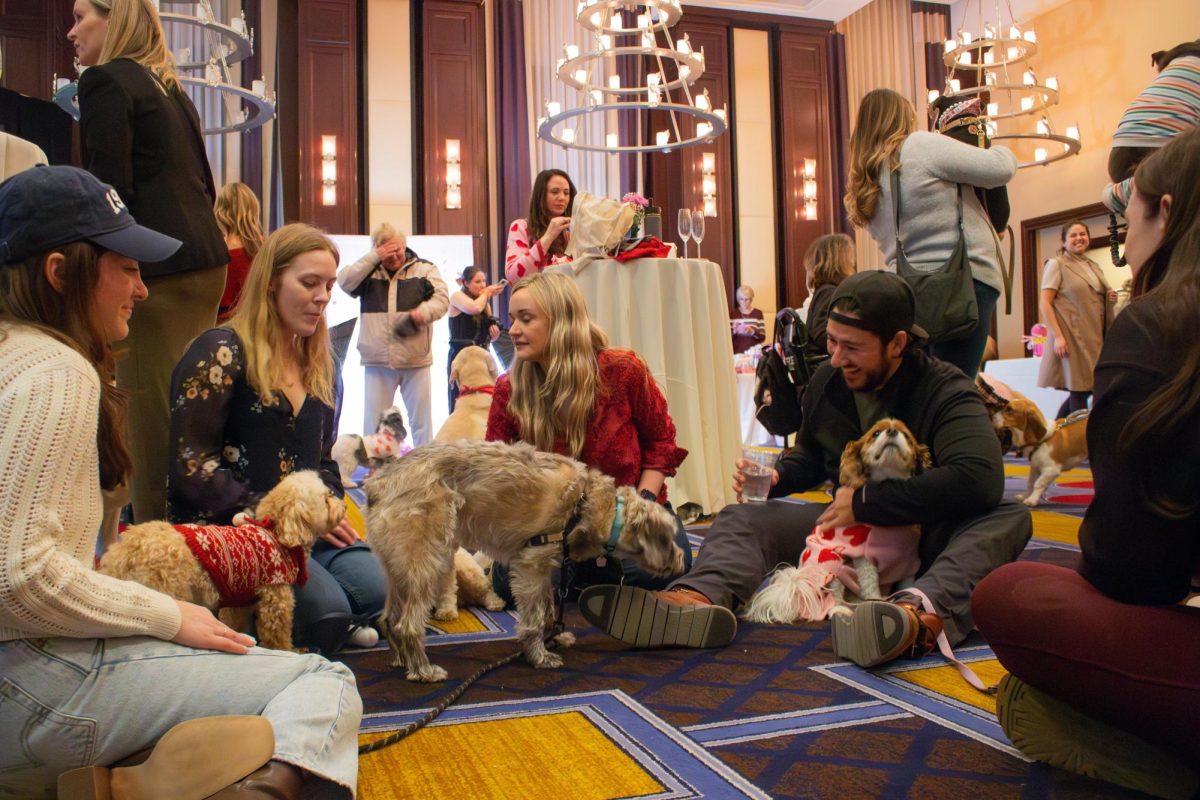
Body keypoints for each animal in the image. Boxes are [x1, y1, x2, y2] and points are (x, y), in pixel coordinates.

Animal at [364, 438, 686, 681]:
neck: (589, 504)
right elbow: (534, 618)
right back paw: (423, 670)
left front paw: (555, 637)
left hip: (400, 571)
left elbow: (548, 608)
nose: (682, 561)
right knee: (407, 625)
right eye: (668, 536)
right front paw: (540, 655)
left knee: (388, 619)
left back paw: (401, 661)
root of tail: (379, 484)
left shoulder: (542, 571)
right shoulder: (531, 565)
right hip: (428, 565)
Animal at [739, 419, 926, 623]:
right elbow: (870, 586)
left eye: (906, 435)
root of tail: (798, 588)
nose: (892, 431)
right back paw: (840, 610)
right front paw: (876, 601)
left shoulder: (909, 561)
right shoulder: (864, 559)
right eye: (876, 433)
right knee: (831, 600)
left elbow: (908, 584)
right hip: (832, 565)